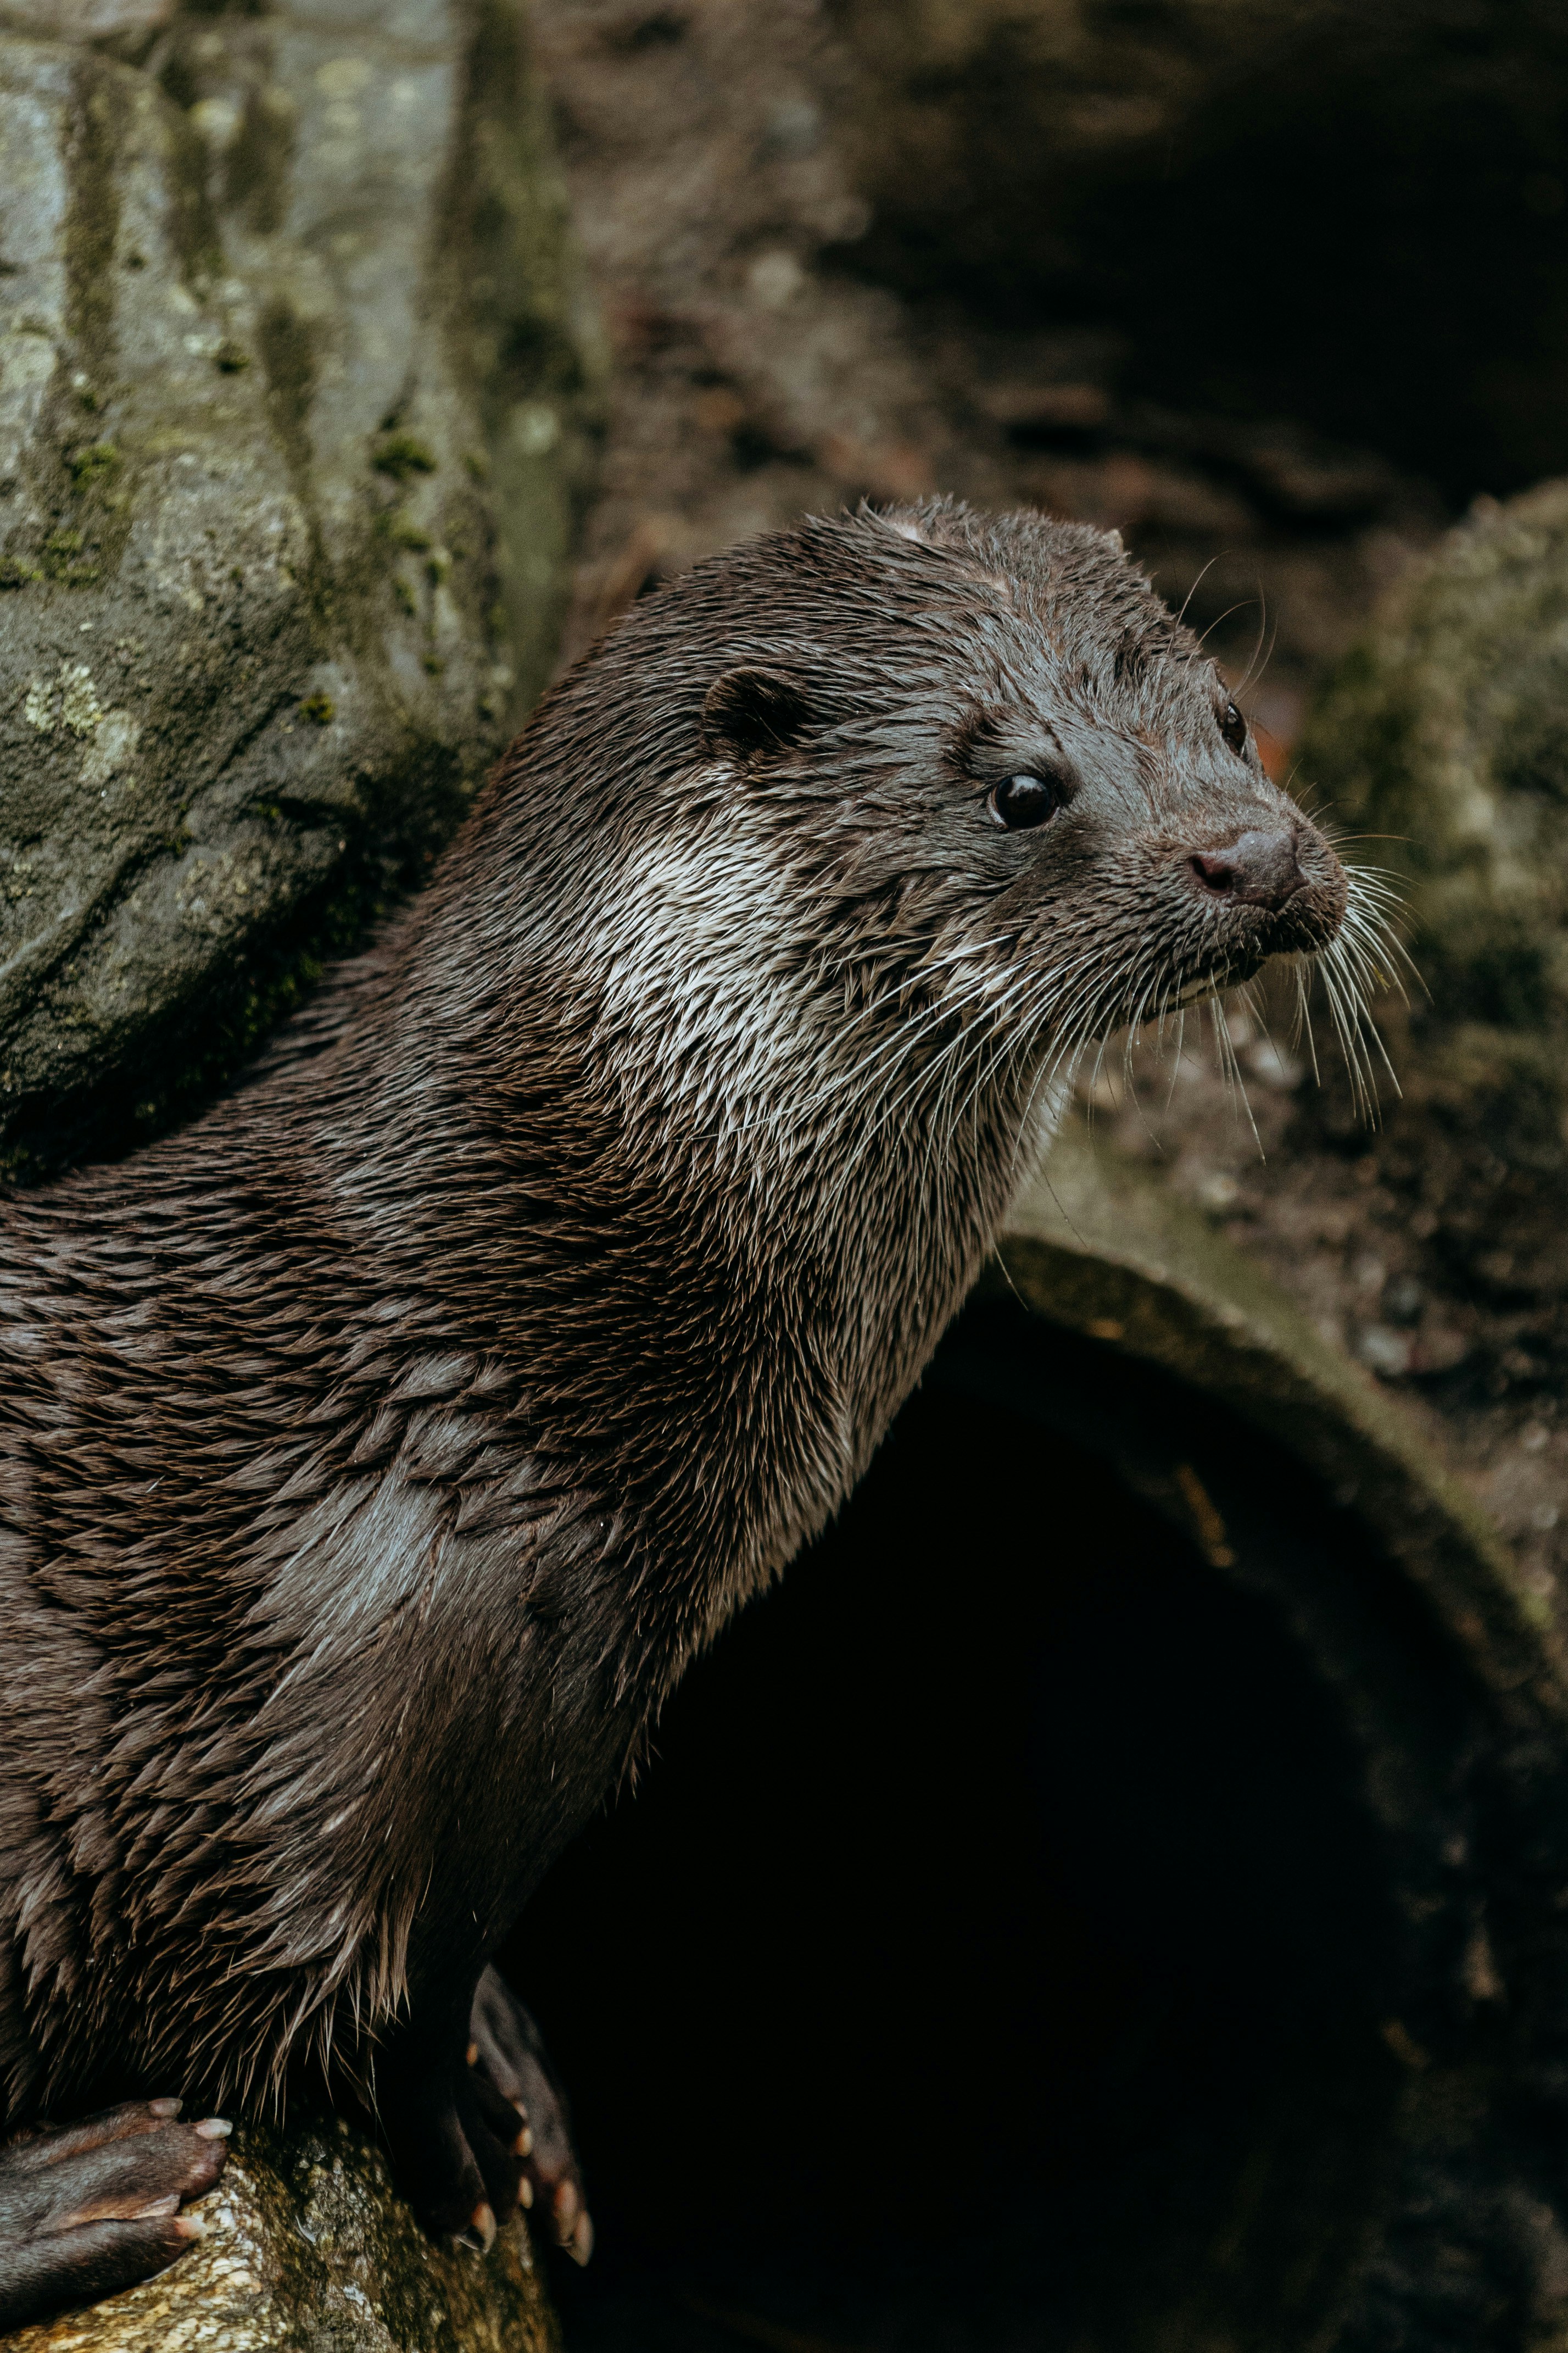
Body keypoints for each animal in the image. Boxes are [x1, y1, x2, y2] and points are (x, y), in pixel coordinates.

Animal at [0, 502, 1357, 2327]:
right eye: (1020, 788)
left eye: (1230, 719)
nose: (1255, 856)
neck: (524, 1284)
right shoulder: (426, 1672)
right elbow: (368, 1965)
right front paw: (447, 2143)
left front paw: (518, 2073)